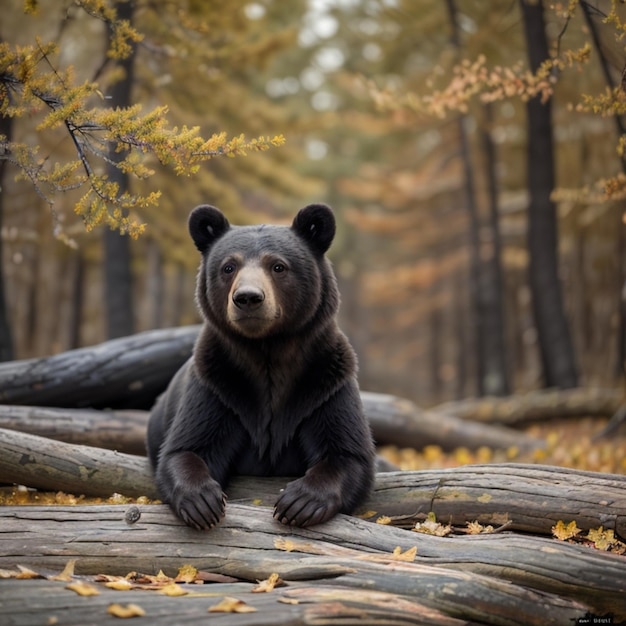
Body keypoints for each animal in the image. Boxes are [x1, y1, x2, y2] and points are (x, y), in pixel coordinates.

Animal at [147, 202, 370, 528]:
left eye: (278, 266)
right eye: (229, 267)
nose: (248, 298)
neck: (267, 350)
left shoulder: (324, 386)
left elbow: (347, 452)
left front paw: (298, 502)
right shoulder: (219, 388)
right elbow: (186, 447)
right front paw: (203, 502)